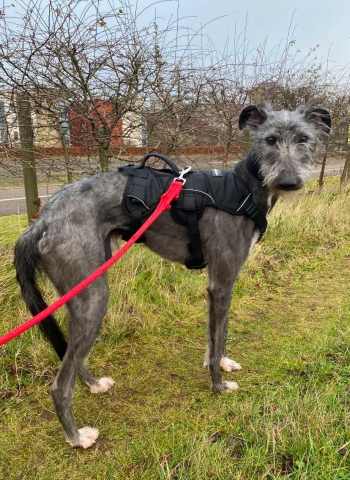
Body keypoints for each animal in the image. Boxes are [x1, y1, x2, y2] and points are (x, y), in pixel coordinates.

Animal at [13, 103, 330, 448]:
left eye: (303, 139)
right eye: (270, 139)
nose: (288, 181)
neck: (242, 188)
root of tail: (39, 223)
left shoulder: (221, 284)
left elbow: (217, 334)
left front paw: (220, 362)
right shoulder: (221, 284)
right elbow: (218, 334)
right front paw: (218, 385)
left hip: (79, 293)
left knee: (70, 359)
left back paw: (94, 385)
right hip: (93, 296)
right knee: (60, 384)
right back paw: (77, 437)